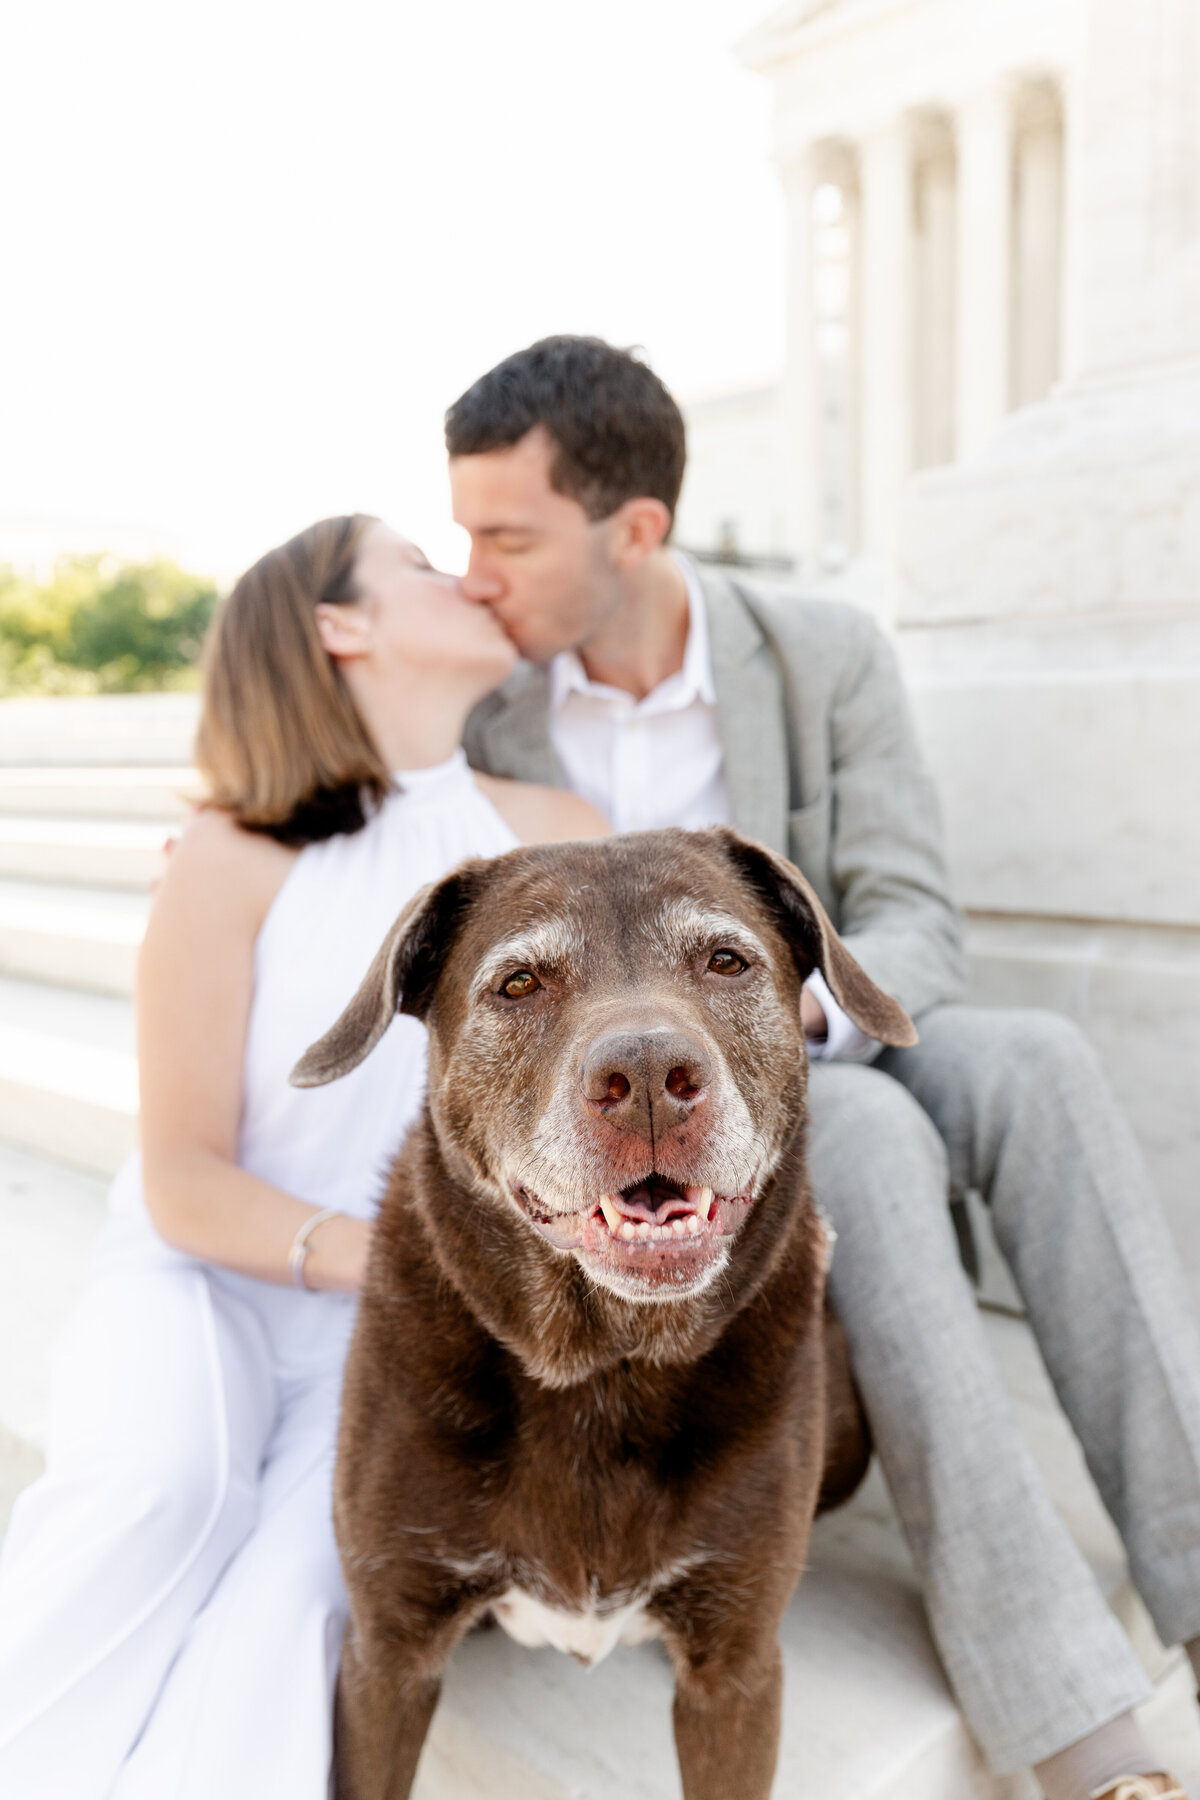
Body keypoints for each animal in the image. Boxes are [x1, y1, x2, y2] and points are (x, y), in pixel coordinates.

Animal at [295, 828, 913, 1800]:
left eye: (726, 961)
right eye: (519, 984)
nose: (652, 1075)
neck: (602, 1363)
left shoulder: (737, 1670)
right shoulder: (387, 1650)